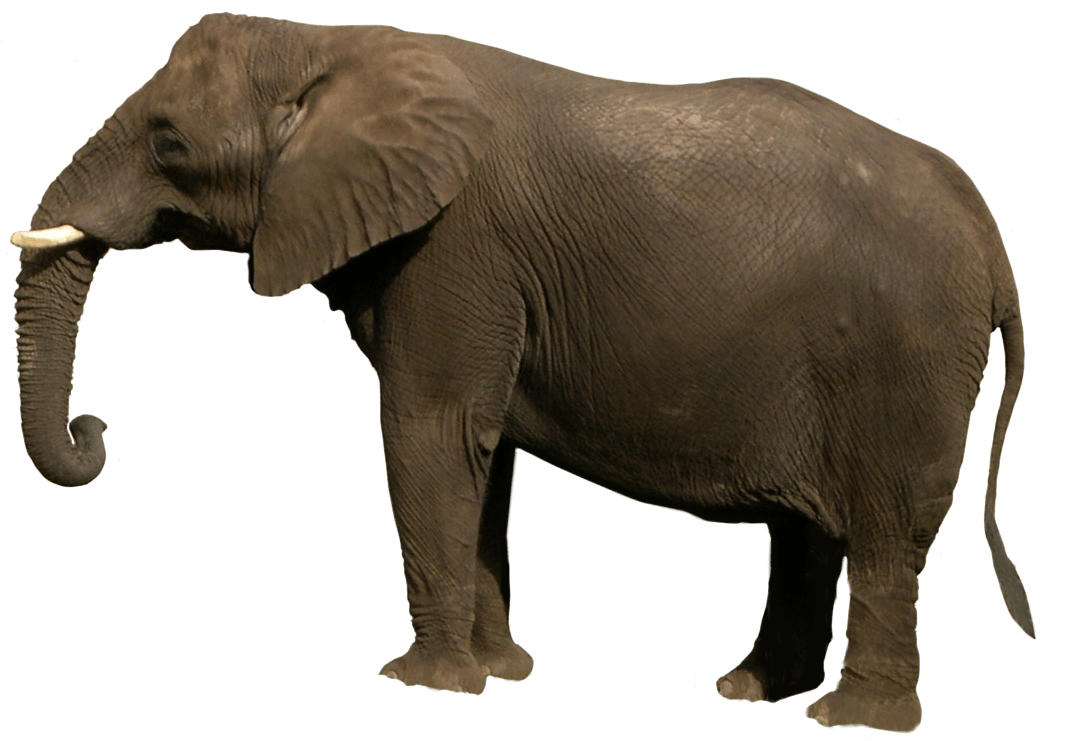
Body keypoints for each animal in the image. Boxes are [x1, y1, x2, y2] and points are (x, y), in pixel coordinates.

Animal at [11, 13, 1036, 732]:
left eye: (169, 143)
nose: (97, 429)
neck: (332, 43)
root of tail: (988, 234)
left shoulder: (453, 250)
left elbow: (424, 431)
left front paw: (425, 686)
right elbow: (483, 452)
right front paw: (502, 673)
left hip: (906, 357)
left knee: (885, 536)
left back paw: (849, 720)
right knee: (810, 532)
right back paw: (750, 691)